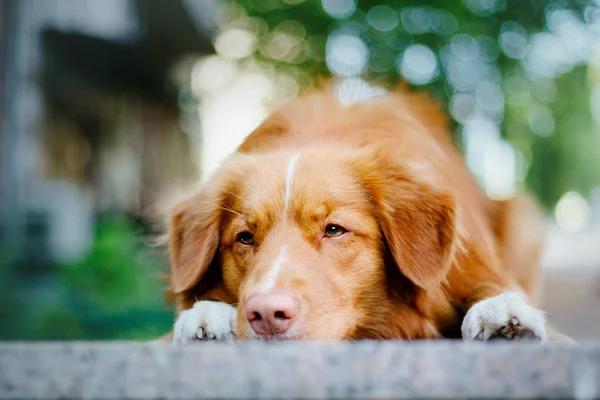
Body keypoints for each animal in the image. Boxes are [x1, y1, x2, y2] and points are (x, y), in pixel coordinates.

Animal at [162, 80, 568, 344]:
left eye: (334, 230)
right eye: (244, 238)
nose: (265, 315)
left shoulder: (467, 261)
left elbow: (488, 282)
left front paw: (500, 310)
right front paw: (206, 315)